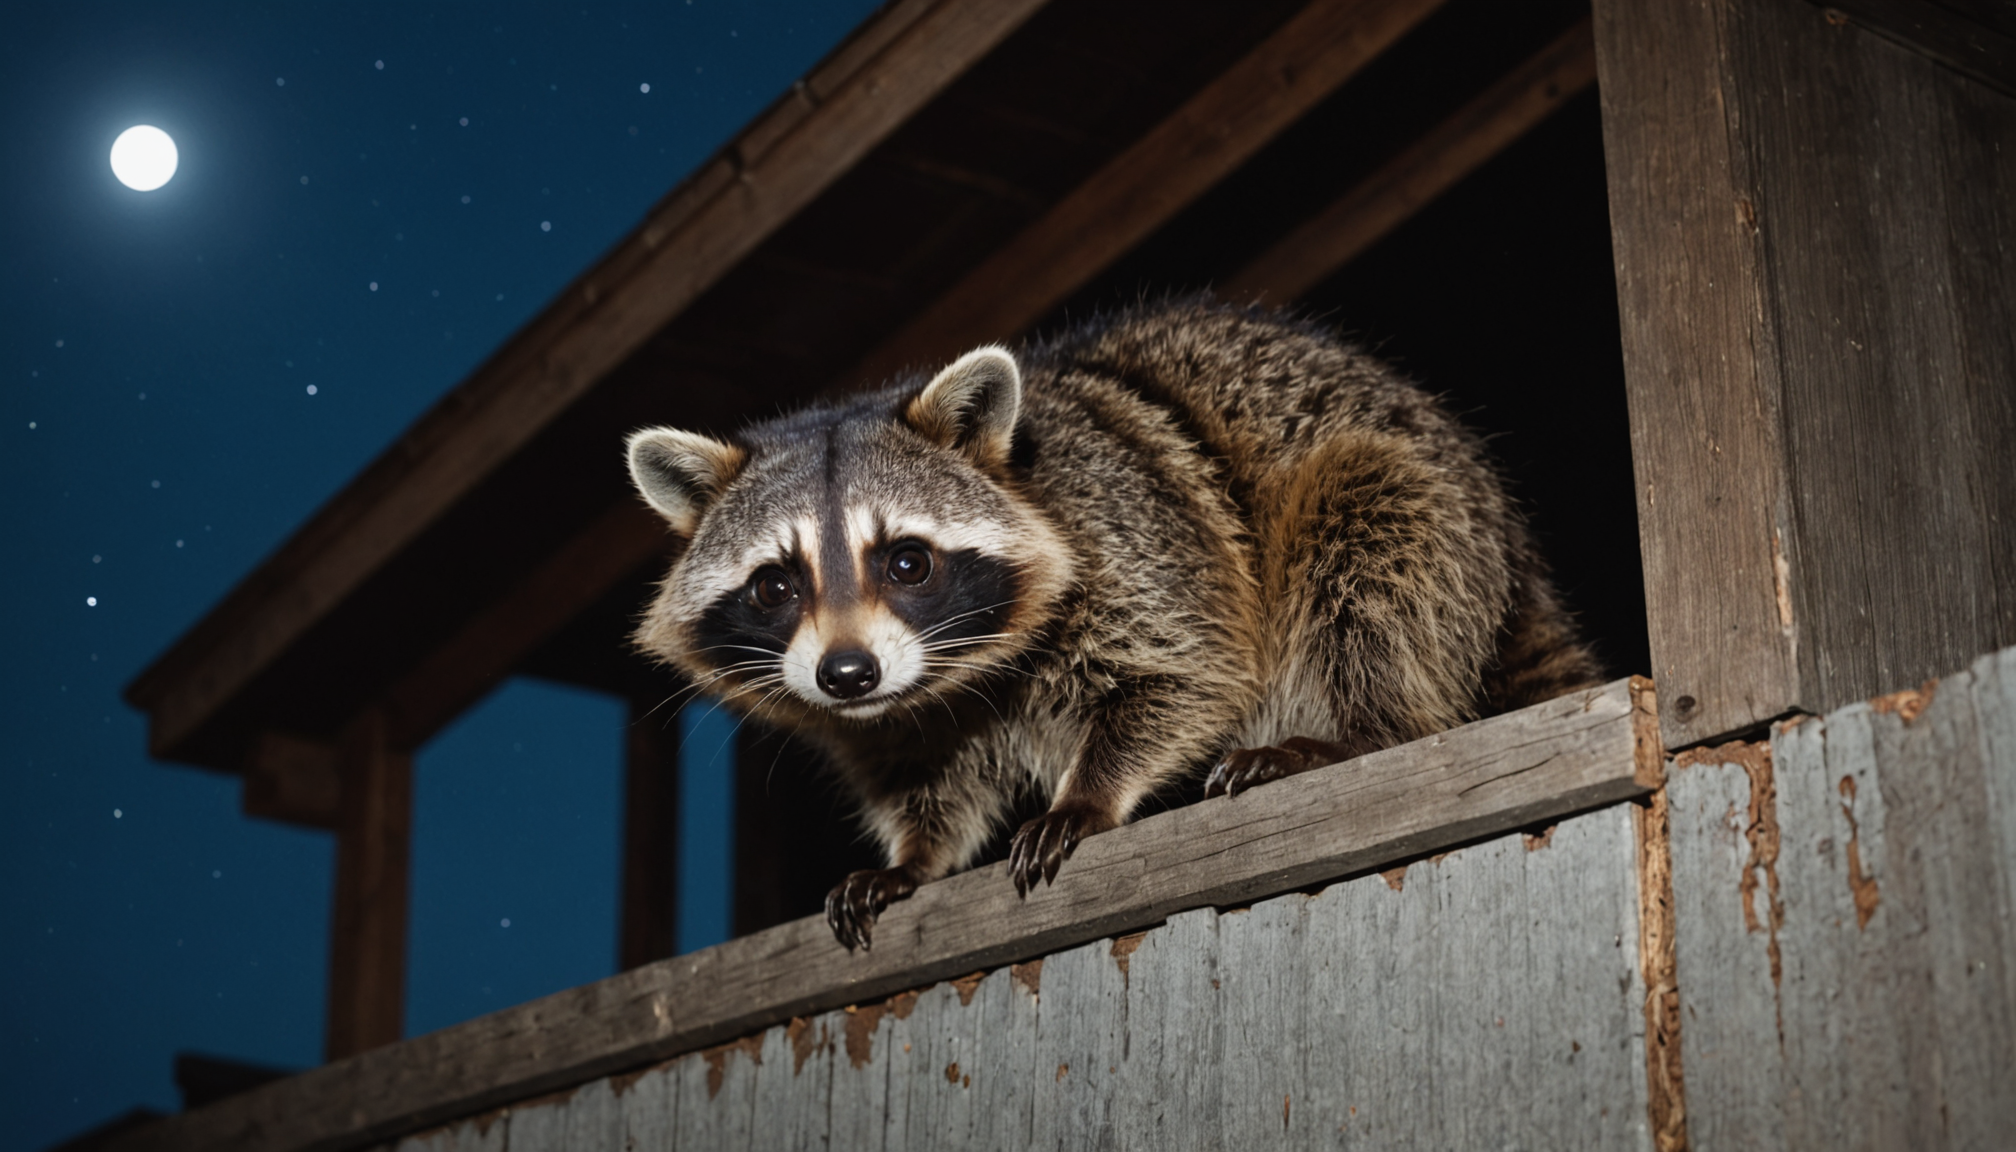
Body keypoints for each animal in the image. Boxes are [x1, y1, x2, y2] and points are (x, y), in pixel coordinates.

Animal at [626, 300, 1602, 951]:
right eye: (774, 586)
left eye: (906, 562)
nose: (848, 674)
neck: (954, 671)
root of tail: (1513, 552)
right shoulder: (898, 709)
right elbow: (920, 771)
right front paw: (916, 856)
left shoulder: (1137, 535)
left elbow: (1191, 669)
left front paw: (1088, 792)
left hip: (1422, 507)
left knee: (1370, 540)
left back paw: (1360, 730)